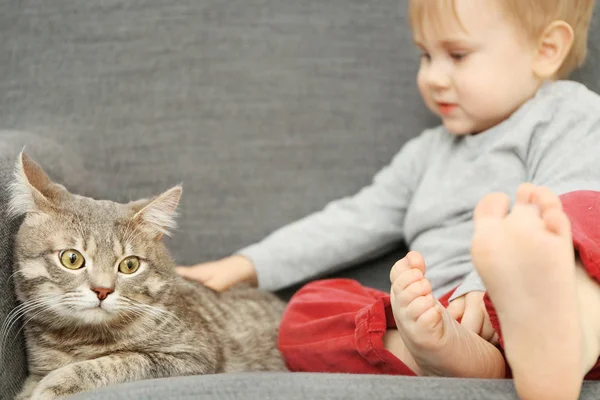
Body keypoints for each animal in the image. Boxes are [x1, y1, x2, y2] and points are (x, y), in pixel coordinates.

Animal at [2, 152, 288, 398]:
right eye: (72, 259)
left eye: (129, 265)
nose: (102, 290)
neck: (78, 339)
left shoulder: (193, 356)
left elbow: (120, 361)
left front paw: (57, 383)